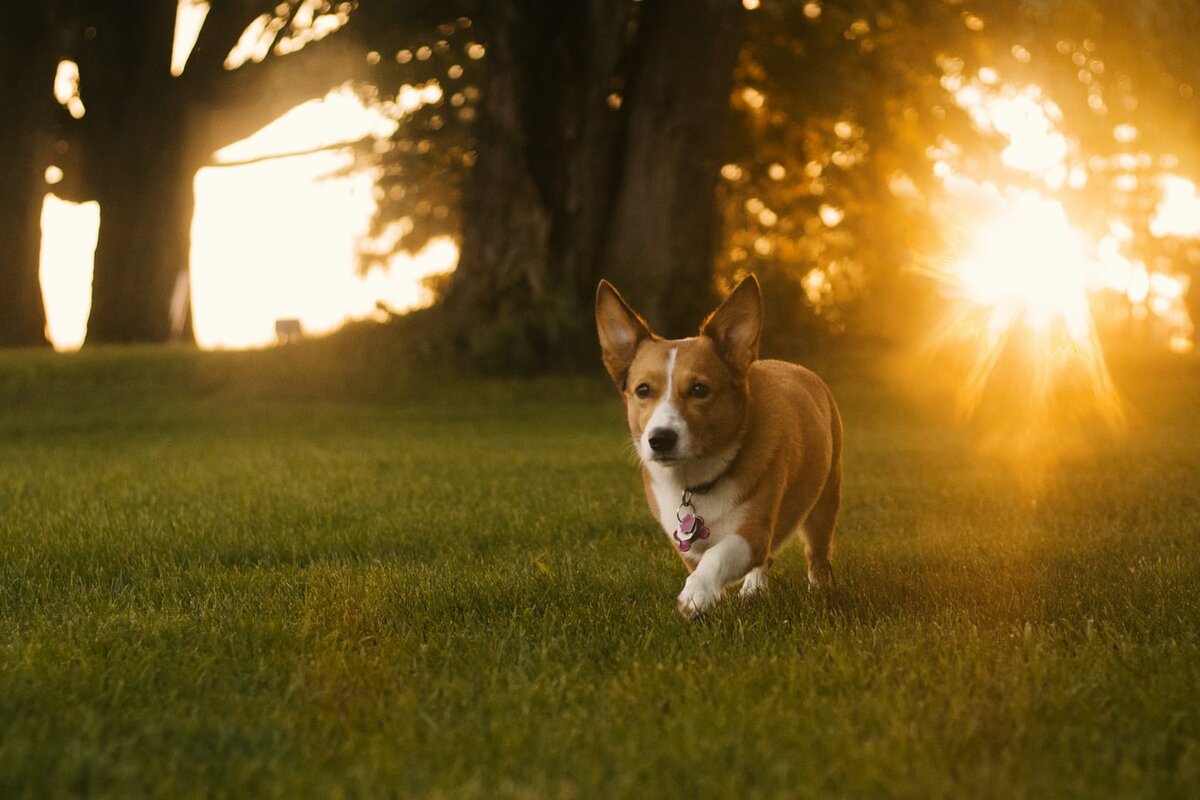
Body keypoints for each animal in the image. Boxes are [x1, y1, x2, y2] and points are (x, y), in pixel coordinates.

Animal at [592, 275, 840, 618]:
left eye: (699, 389)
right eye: (642, 390)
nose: (660, 439)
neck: (696, 481)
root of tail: (795, 366)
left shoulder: (752, 532)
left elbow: (717, 557)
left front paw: (696, 593)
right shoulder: (685, 541)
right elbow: (702, 560)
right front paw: (710, 596)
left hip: (824, 503)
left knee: (817, 553)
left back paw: (819, 591)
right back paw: (754, 589)